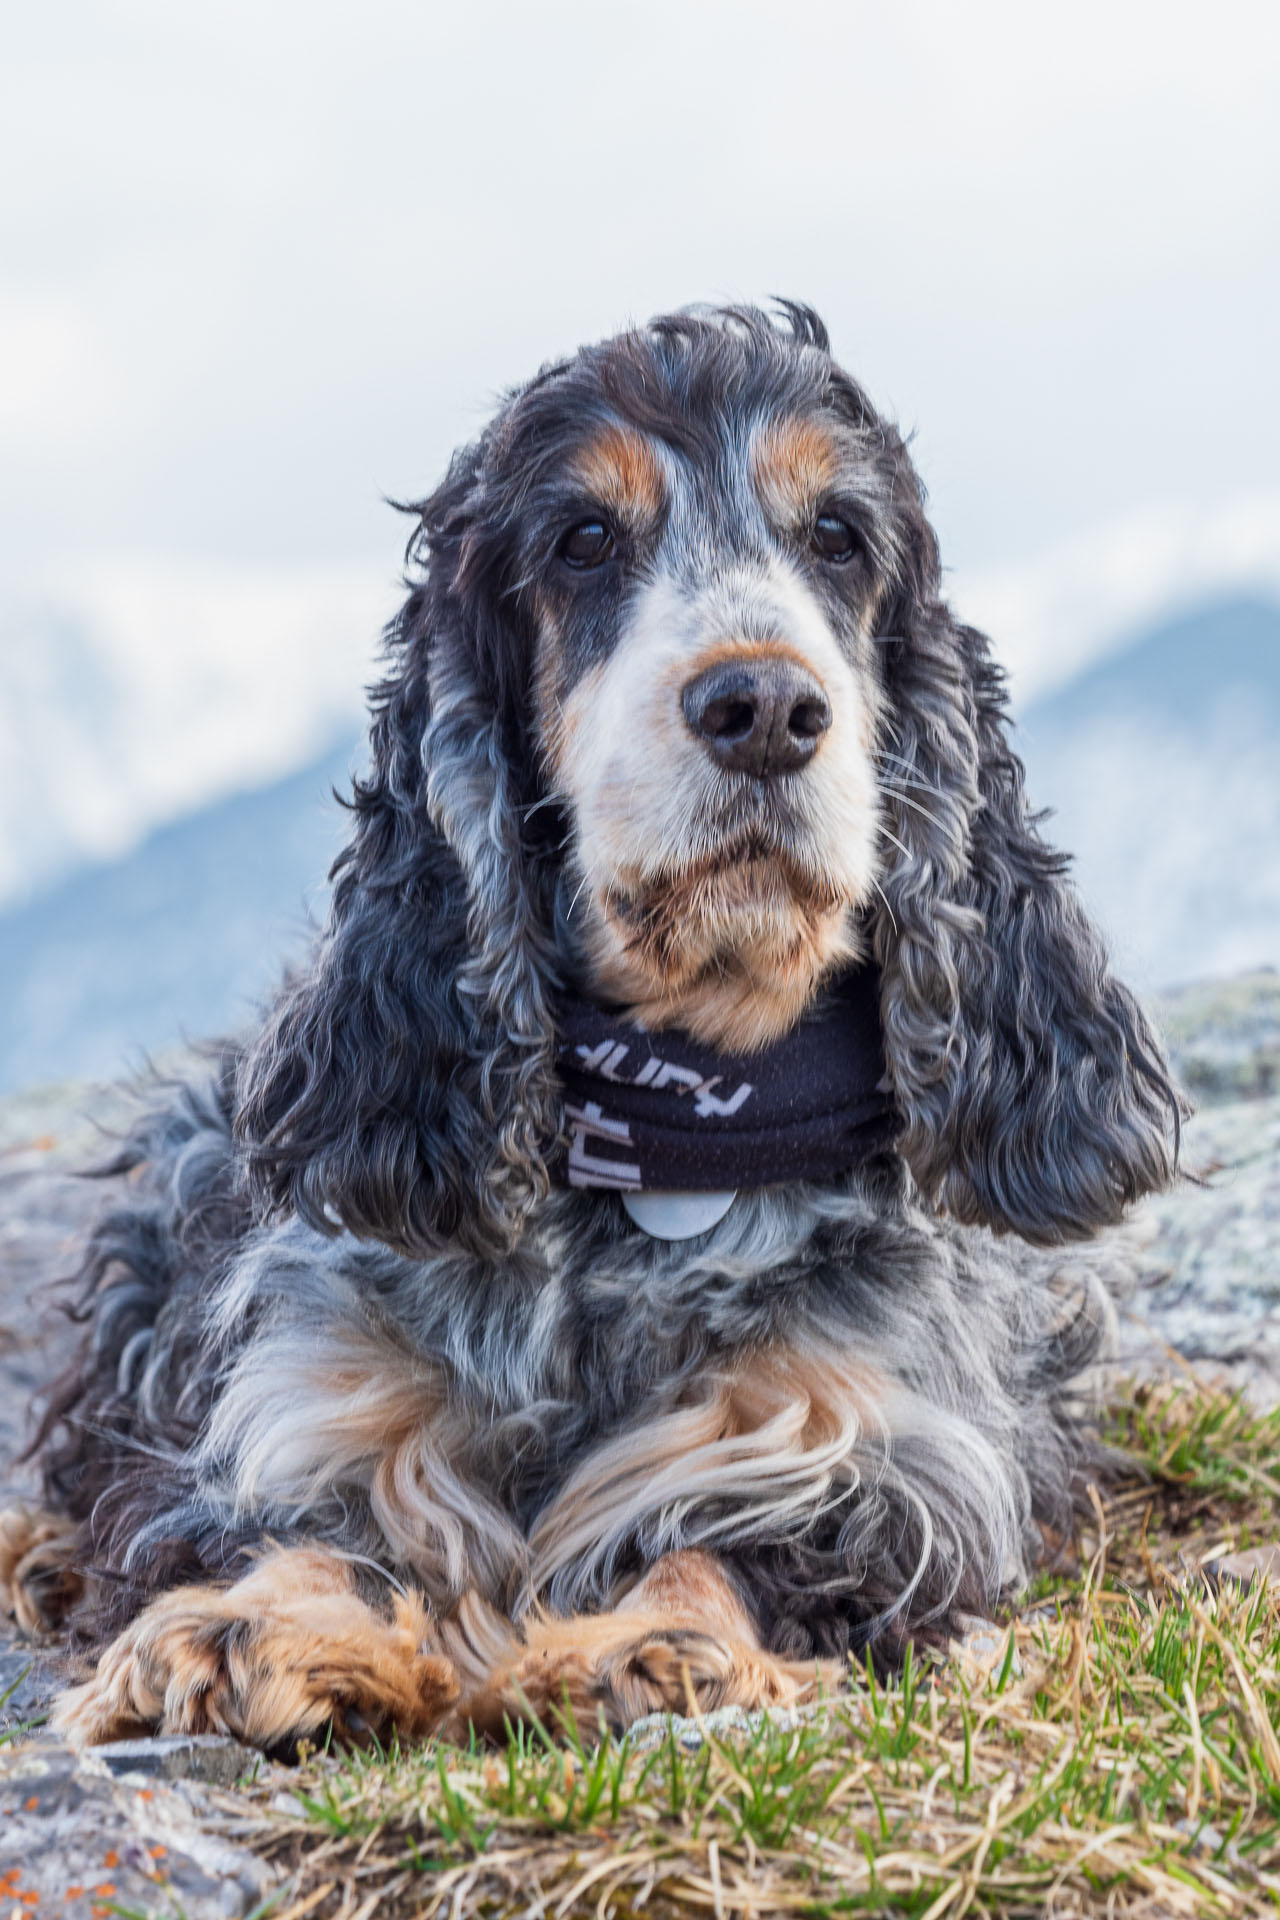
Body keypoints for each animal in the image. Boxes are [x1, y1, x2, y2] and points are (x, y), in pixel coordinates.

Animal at [0, 303, 1182, 1758]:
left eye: (837, 536)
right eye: (582, 541)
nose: (762, 708)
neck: (676, 1134)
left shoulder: (888, 1448)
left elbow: (731, 1536)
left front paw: (650, 1647)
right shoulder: (298, 1391)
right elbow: (302, 1515)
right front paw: (241, 1629)